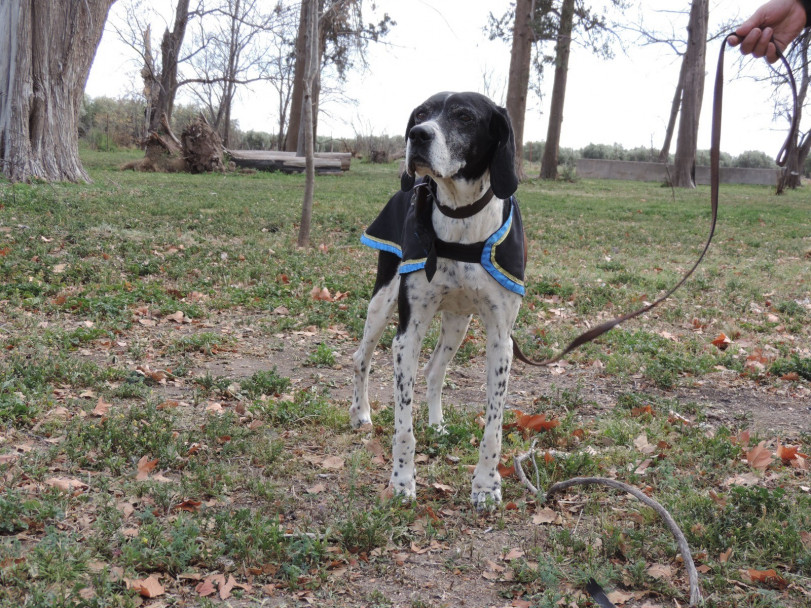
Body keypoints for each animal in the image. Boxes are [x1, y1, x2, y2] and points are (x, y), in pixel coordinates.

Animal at [352, 91, 524, 508]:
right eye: (420, 114)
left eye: (464, 117)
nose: (417, 135)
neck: (461, 217)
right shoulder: (407, 335)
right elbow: (402, 427)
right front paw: (401, 482)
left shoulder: (501, 341)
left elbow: (493, 427)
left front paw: (486, 486)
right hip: (382, 304)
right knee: (361, 358)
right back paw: (360, 412)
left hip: (458, 324)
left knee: (434, 372)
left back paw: (437, 425)